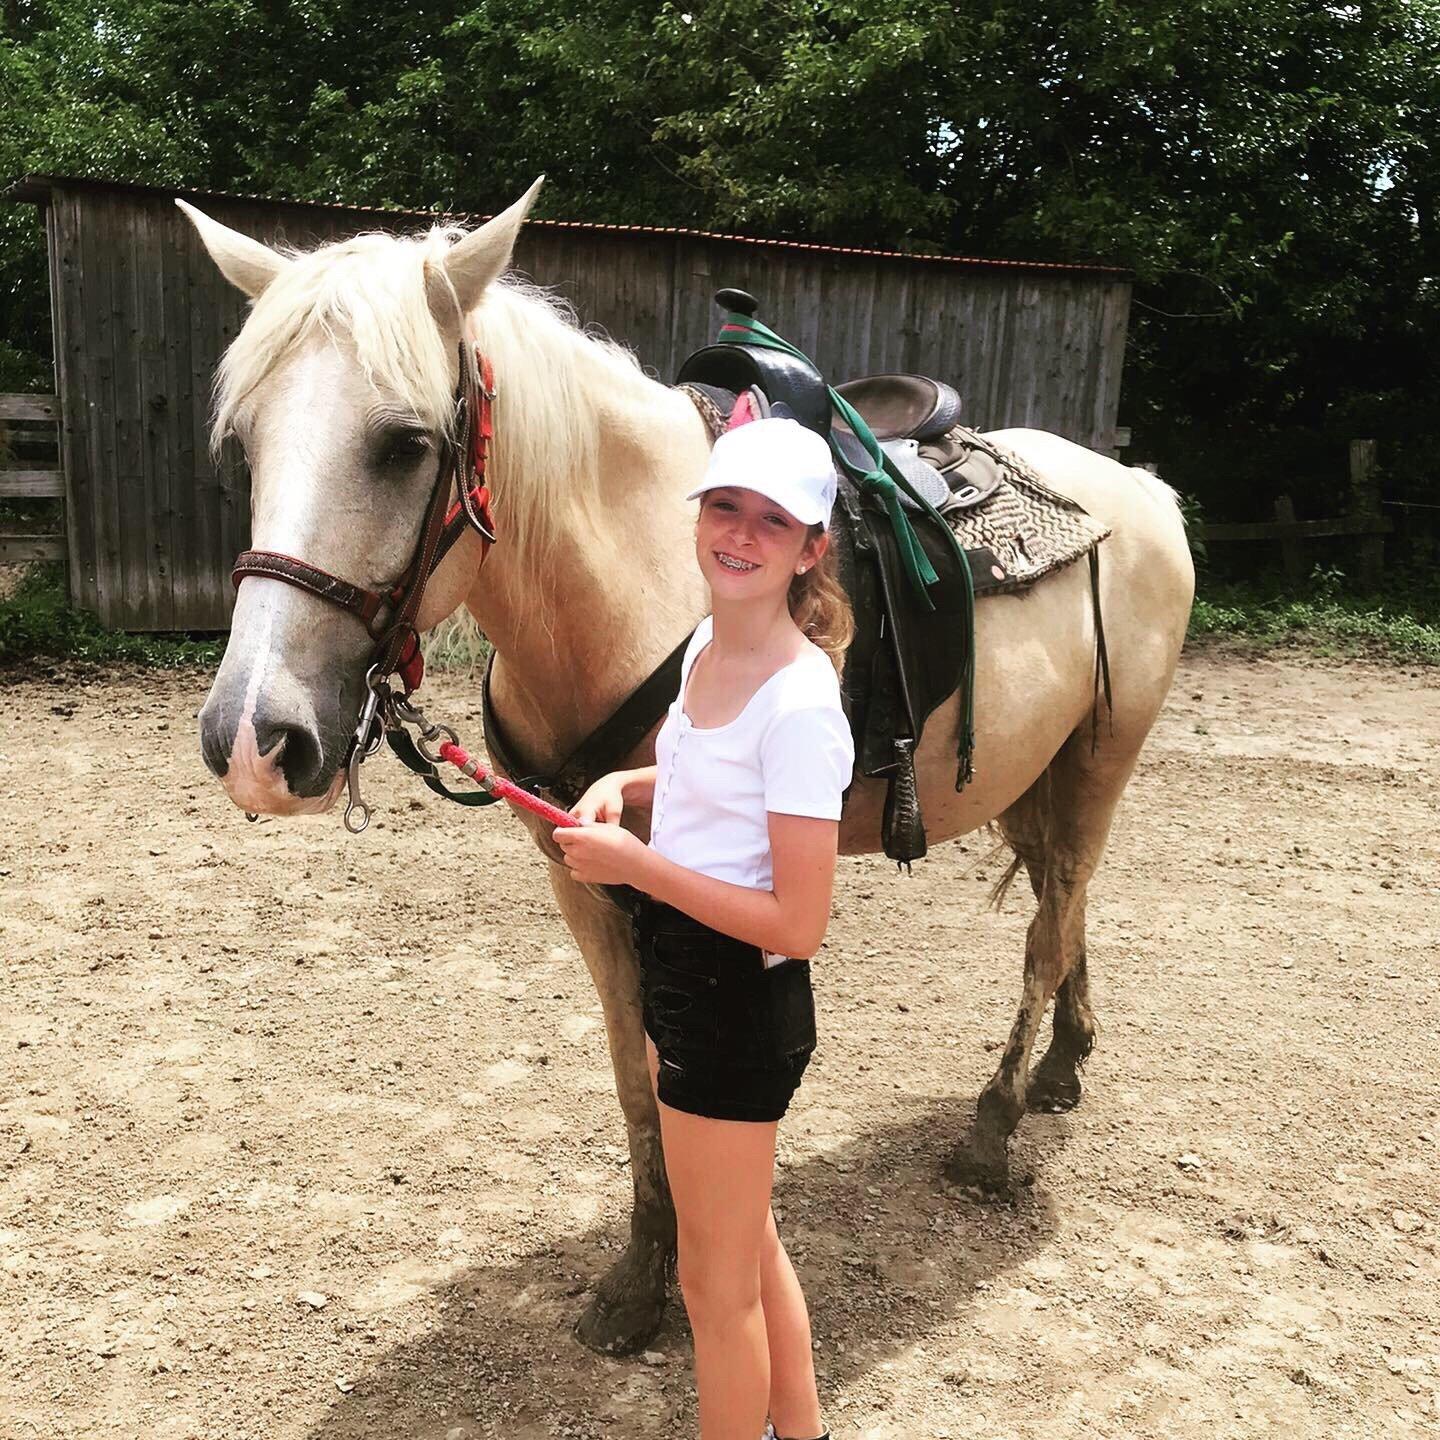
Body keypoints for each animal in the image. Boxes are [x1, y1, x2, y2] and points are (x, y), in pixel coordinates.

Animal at [180, 177, 1192, 1347]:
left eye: (402, 444)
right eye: (244, 442)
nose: (254, 741)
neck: (637, 583)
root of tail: (1142, 488)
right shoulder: (582, 874)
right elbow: (634, 1072)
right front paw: (638, 1275)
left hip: (1104, 757)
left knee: (1048, 923)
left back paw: (994, 1127)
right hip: (1038, 772)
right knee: (1066, 905)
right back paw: (1064, 1062)